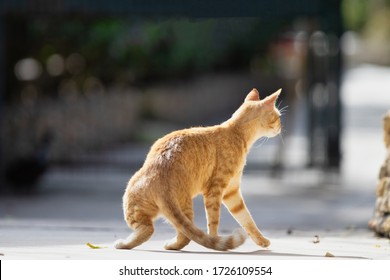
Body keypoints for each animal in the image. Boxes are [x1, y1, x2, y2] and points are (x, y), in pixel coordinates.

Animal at [114, 88, 282, 252]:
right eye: (278, 116)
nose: (281, 127)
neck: (236, 133)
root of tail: (160, 175)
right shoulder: (215, 190)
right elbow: (214, 221)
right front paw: (215, 240)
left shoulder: (231, 192)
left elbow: (247, 219)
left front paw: (261, 240)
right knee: (165, 232)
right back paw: (126, 244)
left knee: (164, 231)